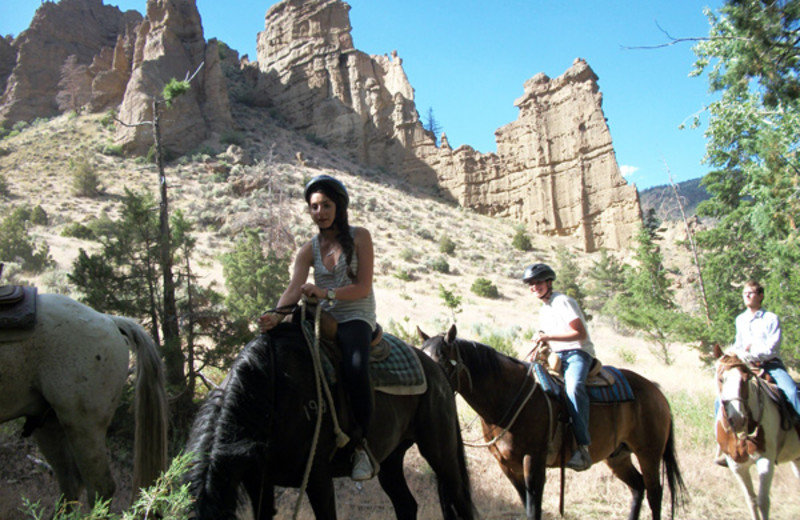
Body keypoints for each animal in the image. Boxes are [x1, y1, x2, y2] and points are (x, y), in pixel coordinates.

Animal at [188, 320, 476, 520]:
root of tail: (436, 370)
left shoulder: (318, 478)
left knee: (460, 501)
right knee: (406, 505)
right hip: (390, 460)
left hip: (441, 452)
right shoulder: (258, 482)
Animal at [416, 324, 684, 520]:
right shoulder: (507, 466)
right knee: (638, 487)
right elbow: (526, 504)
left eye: (441, 360)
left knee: (655, 493)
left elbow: (534, 509)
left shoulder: (533, 461)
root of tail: (657, 392)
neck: (507, 398)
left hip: (649, 453)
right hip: (618, 456)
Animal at [712, 346, 800, 520]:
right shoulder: (737, 467)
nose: (737, 419)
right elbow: (751, 500)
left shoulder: (765, 460)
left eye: (745, 379)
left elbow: (762, 501)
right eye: (721, 379)